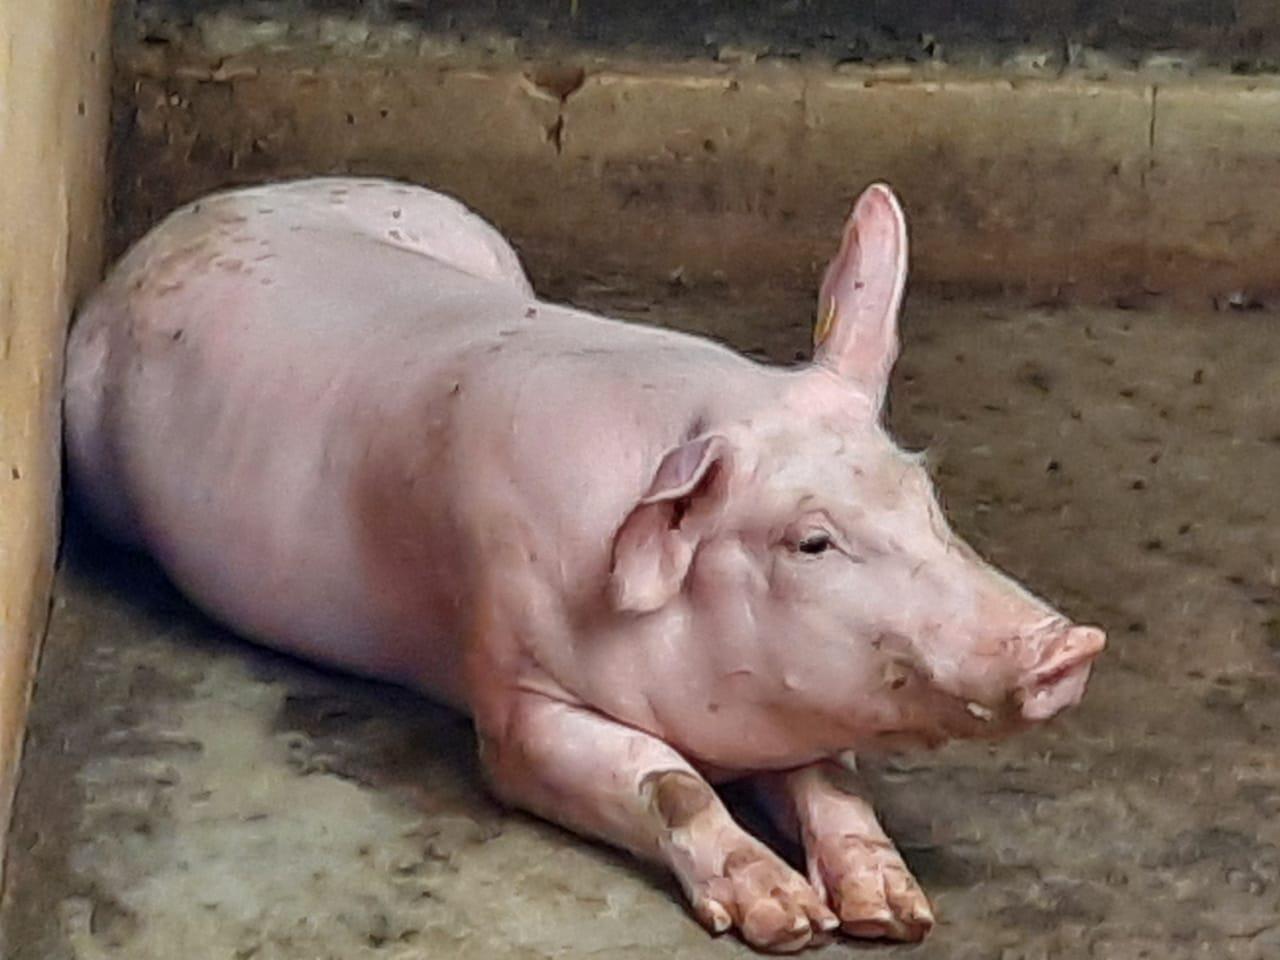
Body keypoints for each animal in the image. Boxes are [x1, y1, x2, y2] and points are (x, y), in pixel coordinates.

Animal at [64, 177, 1105, 952]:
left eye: (923, 494)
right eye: (811, 541)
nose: (1069, 645)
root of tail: (205, 208)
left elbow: (827, 778)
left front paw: (896, 915)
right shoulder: (513, 695)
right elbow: (663, 778)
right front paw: (786, 922)